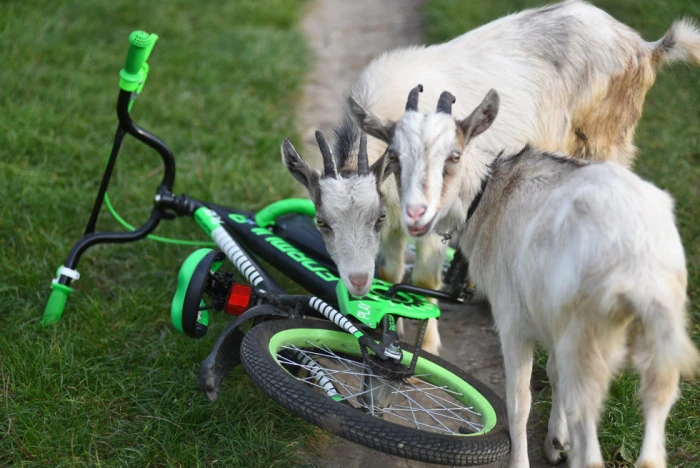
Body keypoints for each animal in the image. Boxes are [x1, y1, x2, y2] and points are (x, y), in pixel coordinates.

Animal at [284, 0, 700, 354]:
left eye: (376, 218)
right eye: (322, 222)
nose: (355, 281)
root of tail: (643, 46)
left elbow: (423, 281)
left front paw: (427, 346)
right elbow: (388, 272)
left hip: (607, 140)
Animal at [356, 85, 700, 468]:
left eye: (454, 156)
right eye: (395, 156)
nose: (416, 214)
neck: (488, 196)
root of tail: (634, 258)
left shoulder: (513, 320)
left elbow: (519, 401)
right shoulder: (549, 318)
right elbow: (552, 373)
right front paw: (555, 441)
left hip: (585, 338)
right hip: (662, 332)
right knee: (655, 421)